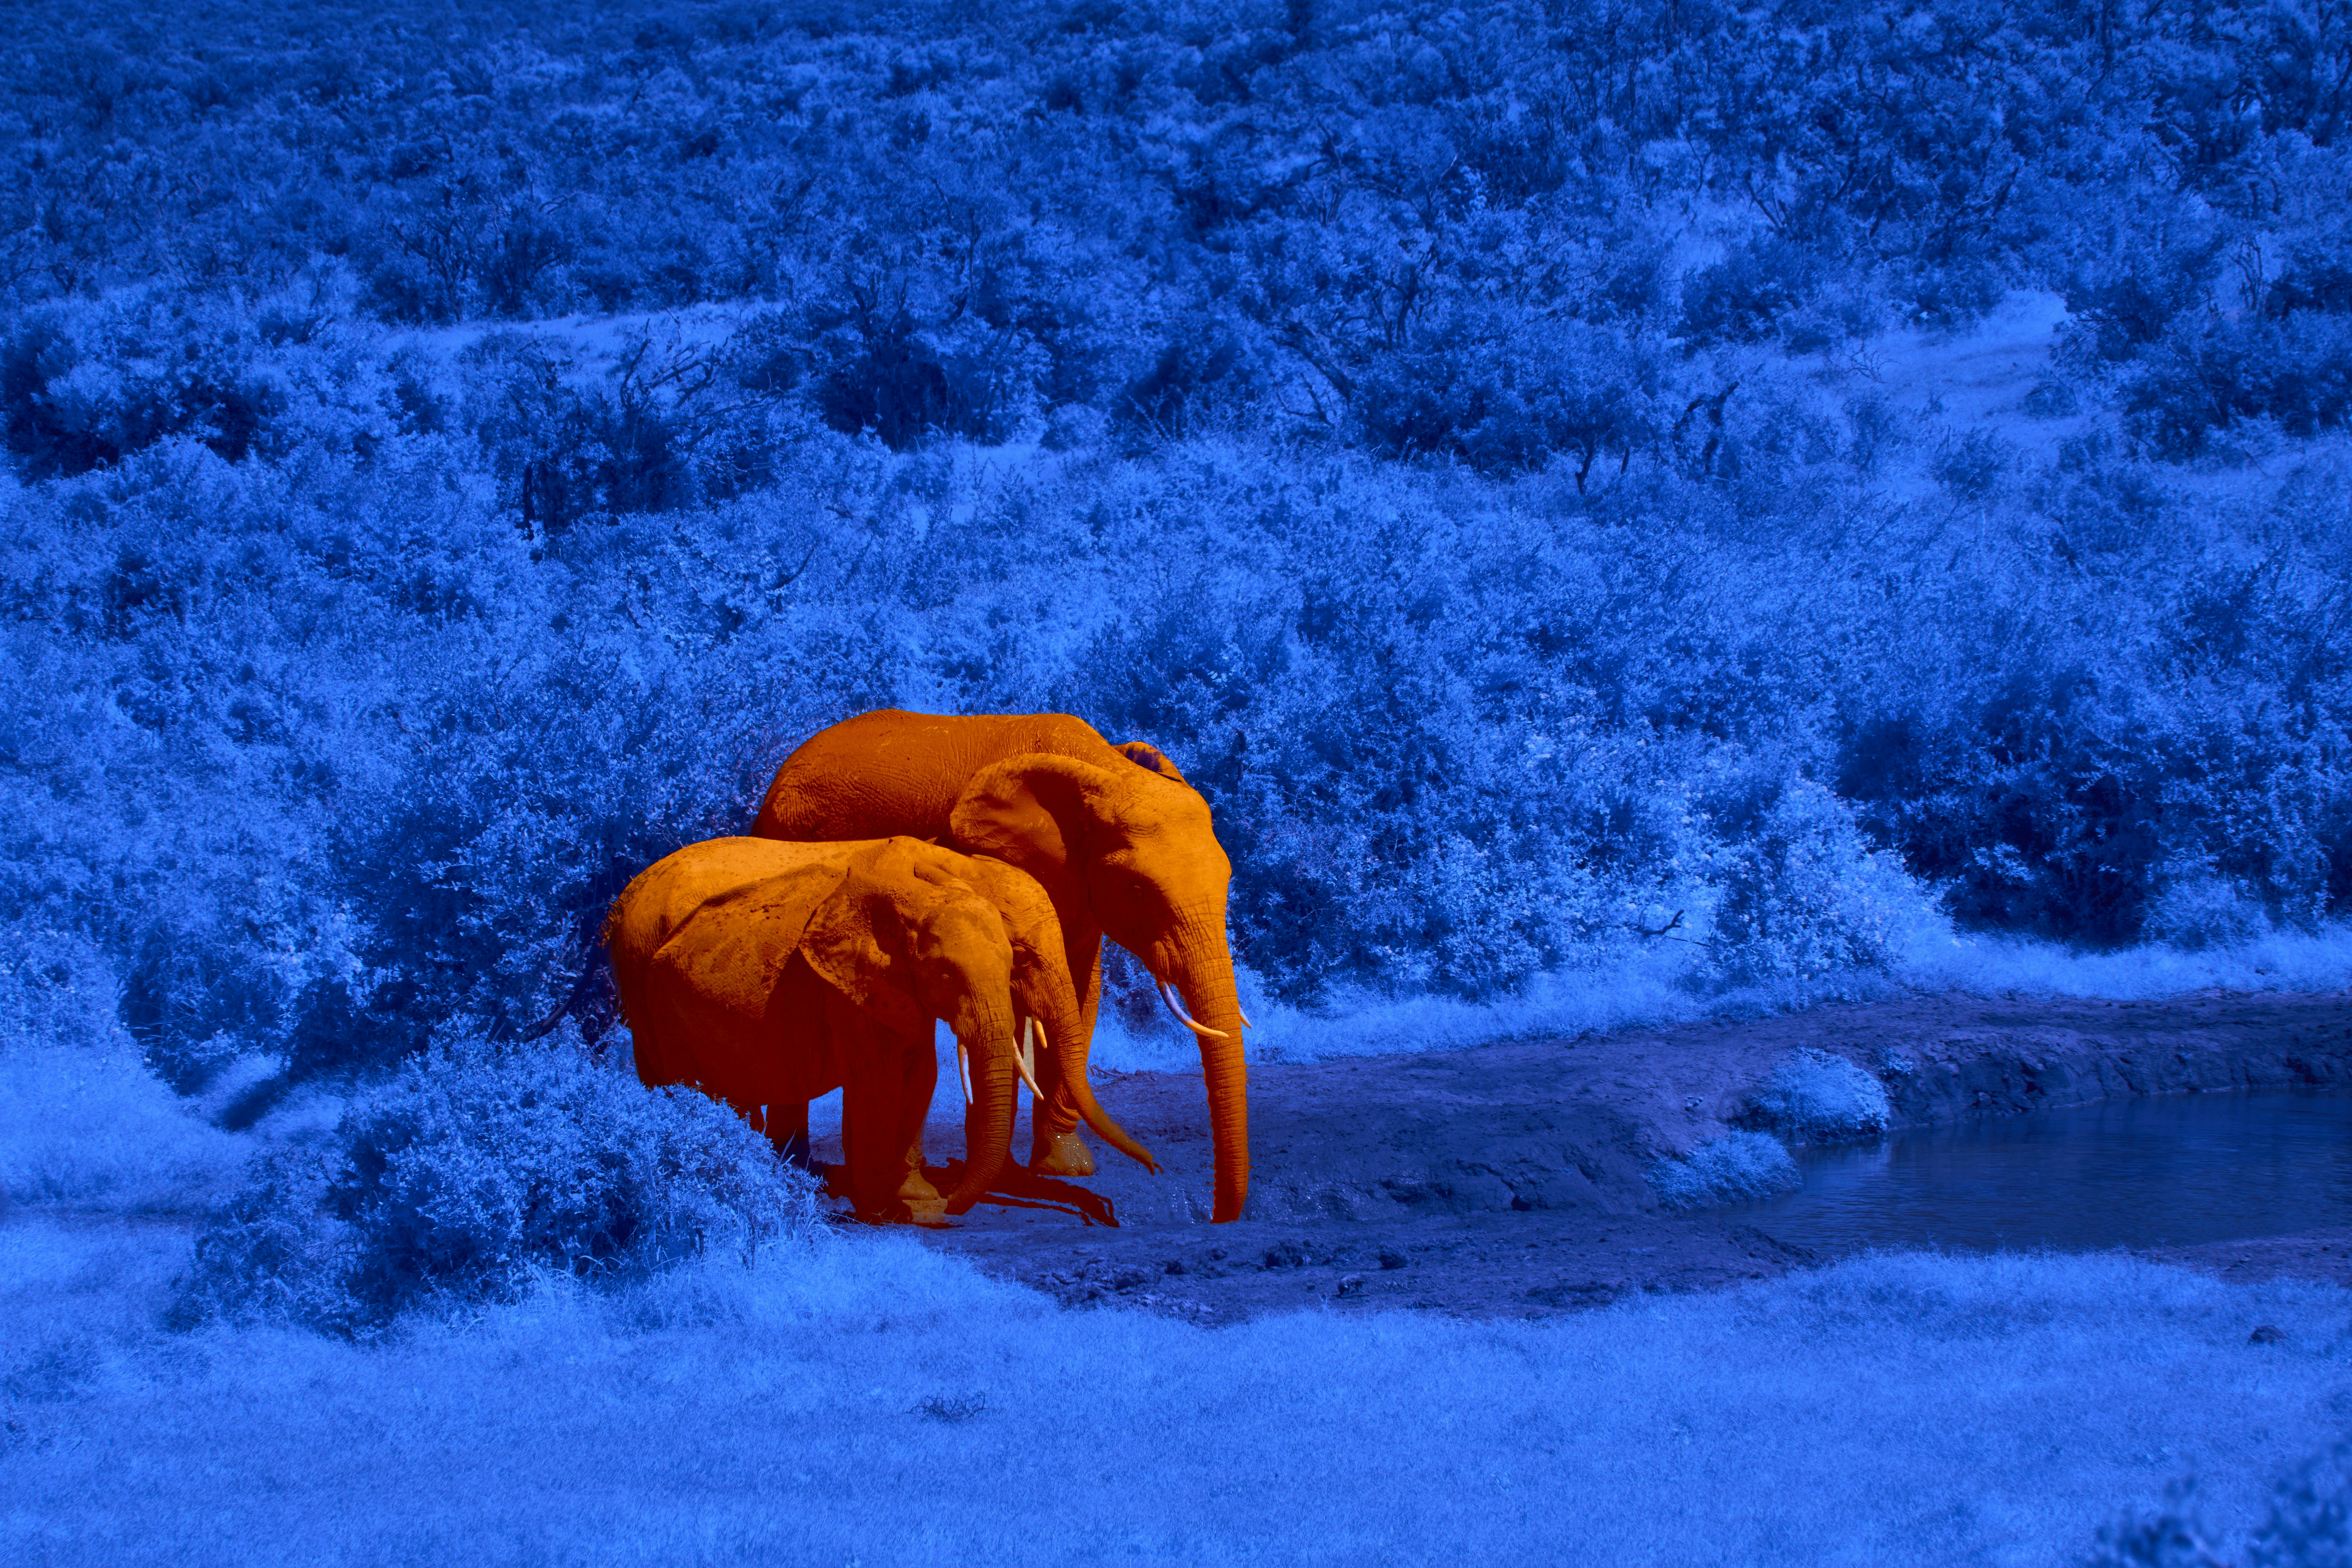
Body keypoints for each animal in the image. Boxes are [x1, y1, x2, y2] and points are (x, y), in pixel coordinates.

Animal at [606, 834, 1156, 1223]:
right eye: (1023, 956)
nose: (1155, 1169)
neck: (954, 866)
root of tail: (625, 897)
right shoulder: (853, 983)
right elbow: (881, 1080)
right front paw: (901, 1205)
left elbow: (919, 1075)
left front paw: (914, 1198)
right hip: (643, 977)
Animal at [750, 709, 1253, 1223]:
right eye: (1137, 891)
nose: (1216, 1216)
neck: (1105, 770)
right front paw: (1005, 1176)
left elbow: (1081, 992)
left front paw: (1065, 1168)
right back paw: (795, 1164)